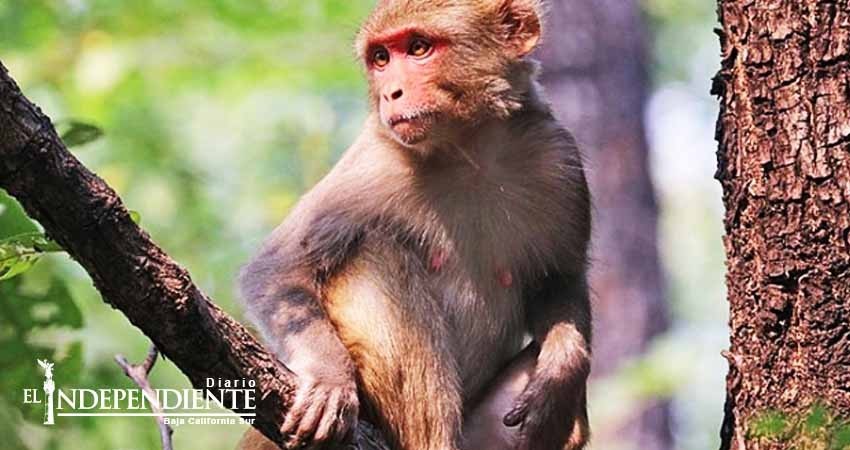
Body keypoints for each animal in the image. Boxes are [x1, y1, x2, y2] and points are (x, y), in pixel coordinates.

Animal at [238, 1, 591, 449]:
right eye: (381, 59)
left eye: (419, 48)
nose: (391, 92)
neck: (470, 152)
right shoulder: (373, 165)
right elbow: (277, 271)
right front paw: (329, 376)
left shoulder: (558, 156)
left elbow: (559, 280)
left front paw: (562, 370)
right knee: (377, 257)